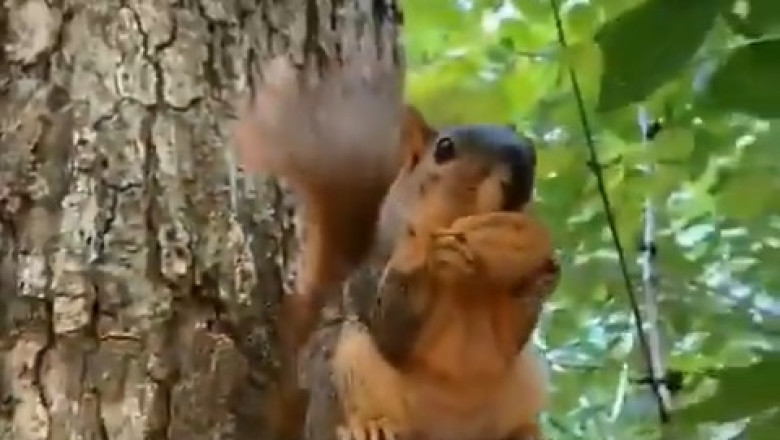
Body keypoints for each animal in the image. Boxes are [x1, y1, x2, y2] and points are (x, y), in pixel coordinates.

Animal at [234, 56, 560, 440]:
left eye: (531, 151)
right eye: (444, 148)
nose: (521, 170)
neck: (465, 283)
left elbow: (513, 335)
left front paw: (539, 267)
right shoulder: (372, 274)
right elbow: (391, 329)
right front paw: (423, 249)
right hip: (345, 362)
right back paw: (370, 427)